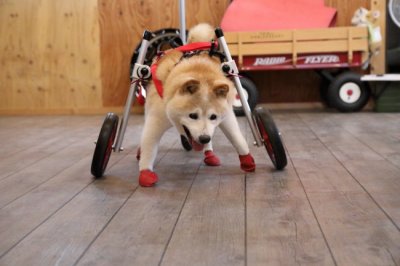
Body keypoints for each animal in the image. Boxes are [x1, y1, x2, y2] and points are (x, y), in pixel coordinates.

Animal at [138, 23, 256, 187]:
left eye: (213, 117)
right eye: (192, 115)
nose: (205, 138)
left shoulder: (227, 117)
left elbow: (237, 138)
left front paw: (247, 159)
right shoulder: (156, 120)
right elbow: (149, 147)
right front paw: (145, 172)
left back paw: (209, 153)